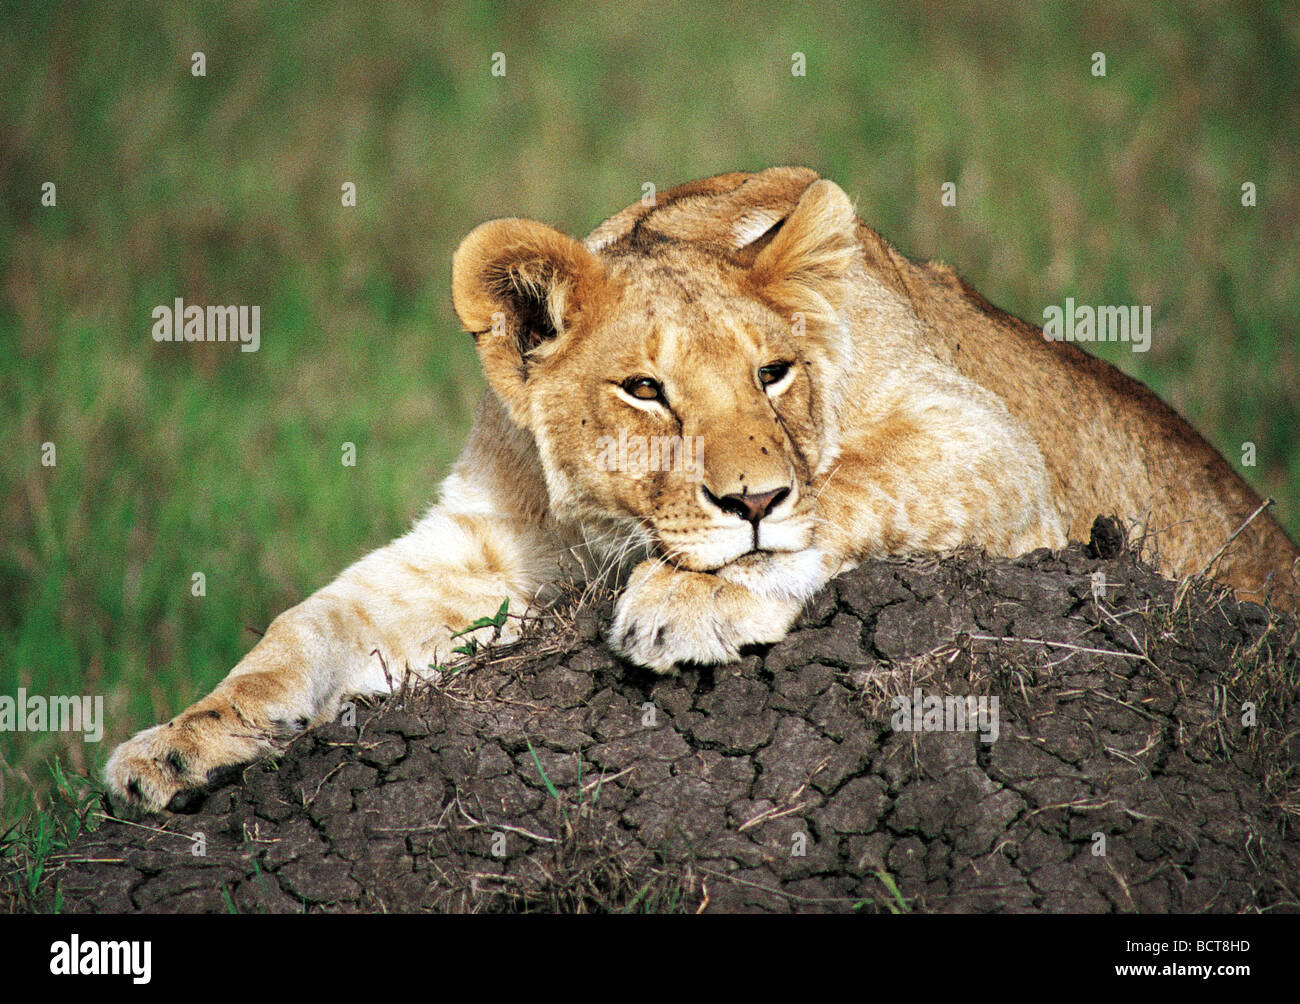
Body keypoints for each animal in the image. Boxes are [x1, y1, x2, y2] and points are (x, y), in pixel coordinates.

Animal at [105, 166, 1299, 813]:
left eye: (772, 372)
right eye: (645, 390)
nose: (752, 497)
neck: (599, 517)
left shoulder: (986, 443)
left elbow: (846, 479)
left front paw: (698, 593)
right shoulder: (483, 546)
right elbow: (309, 624)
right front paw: (180, 744)